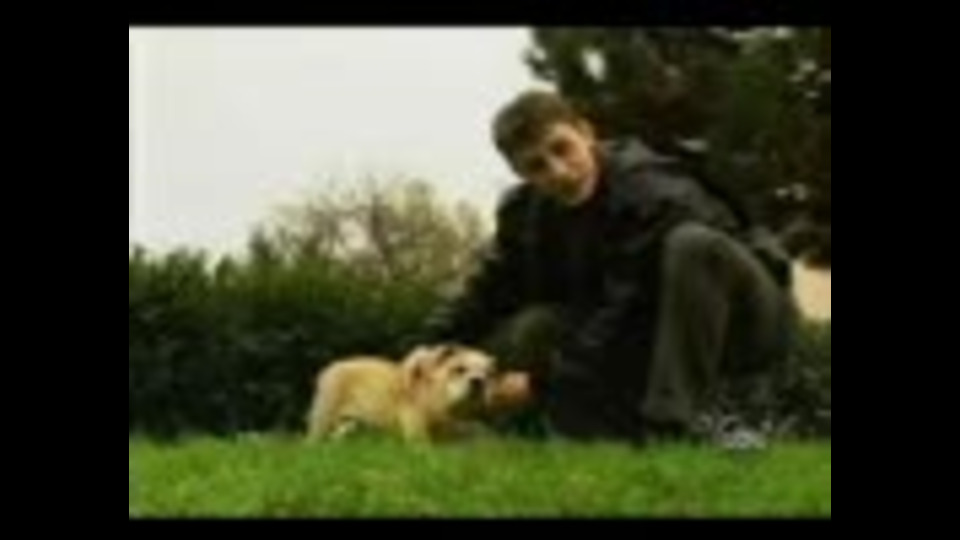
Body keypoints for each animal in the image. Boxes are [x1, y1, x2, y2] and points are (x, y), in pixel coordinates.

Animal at [305, 344, 520, 442]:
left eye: (489, 374)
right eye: (459, 369)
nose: (478, 381)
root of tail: (331, 367)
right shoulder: (418, 433)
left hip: (350, 423)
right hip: (324, 417)